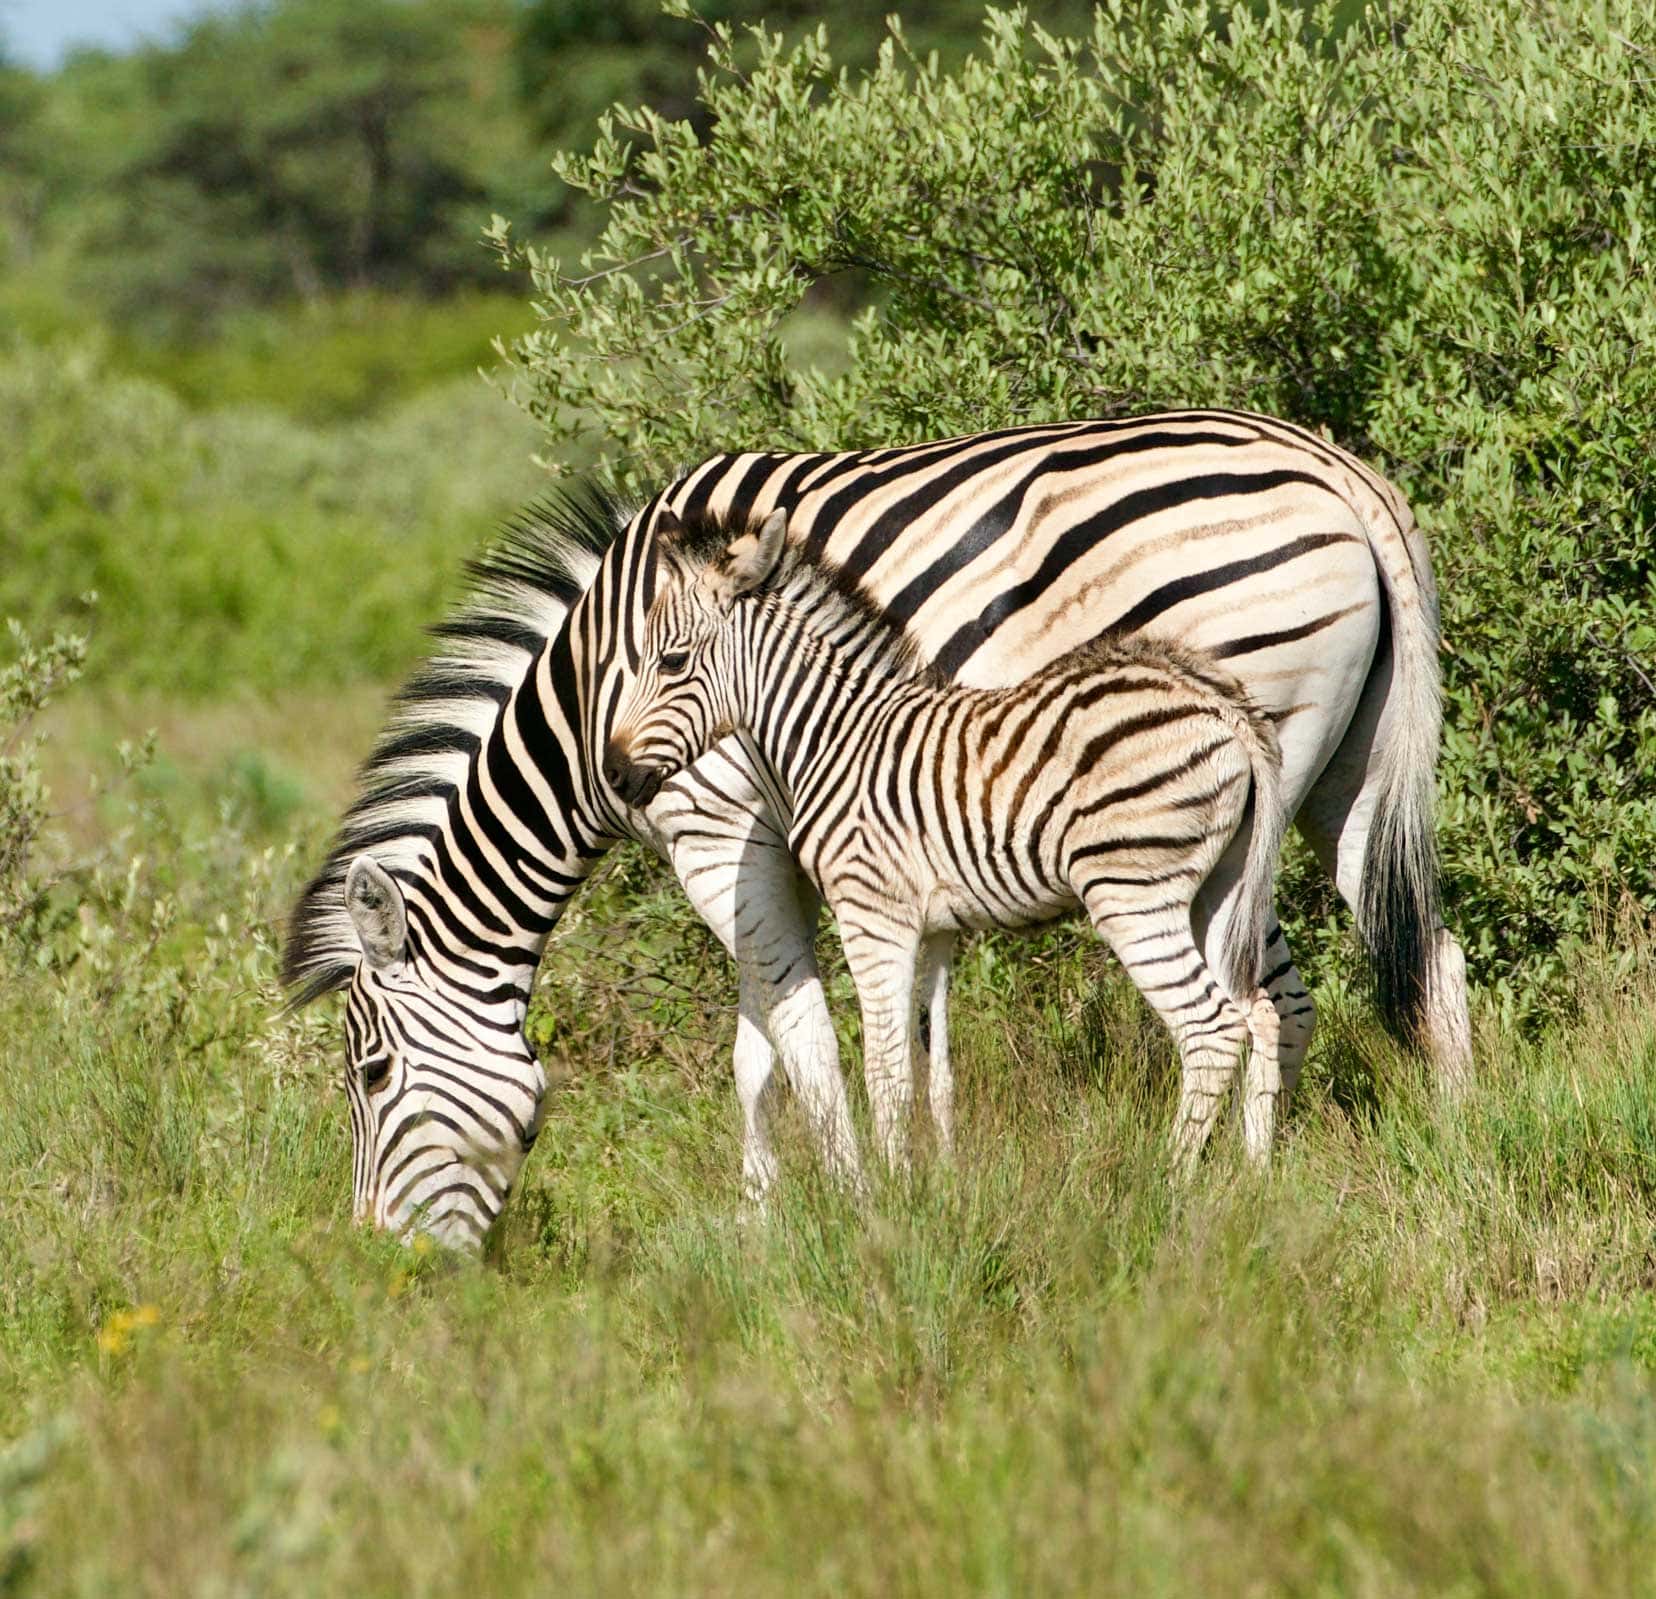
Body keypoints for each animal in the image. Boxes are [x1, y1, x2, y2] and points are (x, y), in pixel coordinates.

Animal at [606, 516, 1291, 1178]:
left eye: (671, 662)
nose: (613, 774)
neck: (833, 738)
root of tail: (1218, 702)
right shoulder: (935, 929)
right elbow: (933, 1073)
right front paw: (939, 1184)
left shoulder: (872, 914)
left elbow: (886, 1074)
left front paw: (889, 1197)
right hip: (1218, 887)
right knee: (1258, 1010)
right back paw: (1252, 1178)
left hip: (1130, 889)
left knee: (1210, 1029)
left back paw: (1171, 1185)